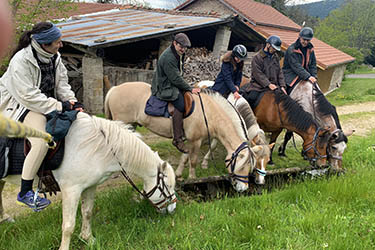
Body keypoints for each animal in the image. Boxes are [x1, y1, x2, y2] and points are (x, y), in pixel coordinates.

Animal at [0, 112, 177, 250]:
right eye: (167, 186)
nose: (173, 208)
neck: (97, 147)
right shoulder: (71, 190)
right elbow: (68, 225)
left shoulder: (90, 187)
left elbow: (87, 212)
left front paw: (88, 239)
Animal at [103, 82, 262, 191]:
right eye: (243, 165)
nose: (243, 188)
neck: (209, 112)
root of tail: (114, 89)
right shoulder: (196, 141)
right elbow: (193, 160)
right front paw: (193, 179)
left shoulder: (190, 140)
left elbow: (185, 157)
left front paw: (179, 175)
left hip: (131, 125)